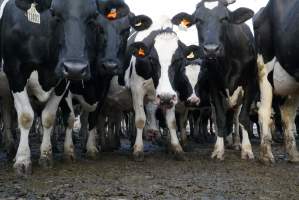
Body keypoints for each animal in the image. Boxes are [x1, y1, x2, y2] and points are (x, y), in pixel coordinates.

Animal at [0, 0, 100, 175]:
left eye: (93, 16)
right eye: (53, 12)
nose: (75, 68)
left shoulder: (62, 81)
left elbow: (48, 117)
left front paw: (46, 155)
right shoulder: (15, 73)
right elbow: (25, 117)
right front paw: (22, 160)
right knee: (7, 115)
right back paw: (11, 149)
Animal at [172, 0, 258, 160]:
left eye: (225, 18)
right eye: (198, 20)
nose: (211, 49)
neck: (227, 62)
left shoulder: (251, 83)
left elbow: (243, 118)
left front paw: (247, 149)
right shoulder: (214, 86)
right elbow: (220, 118)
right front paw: (218, 149)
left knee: (236, 118)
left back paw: (236, 142)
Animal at [254, 0, 299, 163]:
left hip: (293, 82)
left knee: (288, 115)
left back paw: (293, 154)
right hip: (264, 68)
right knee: (264, 111)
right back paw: (266, 155)